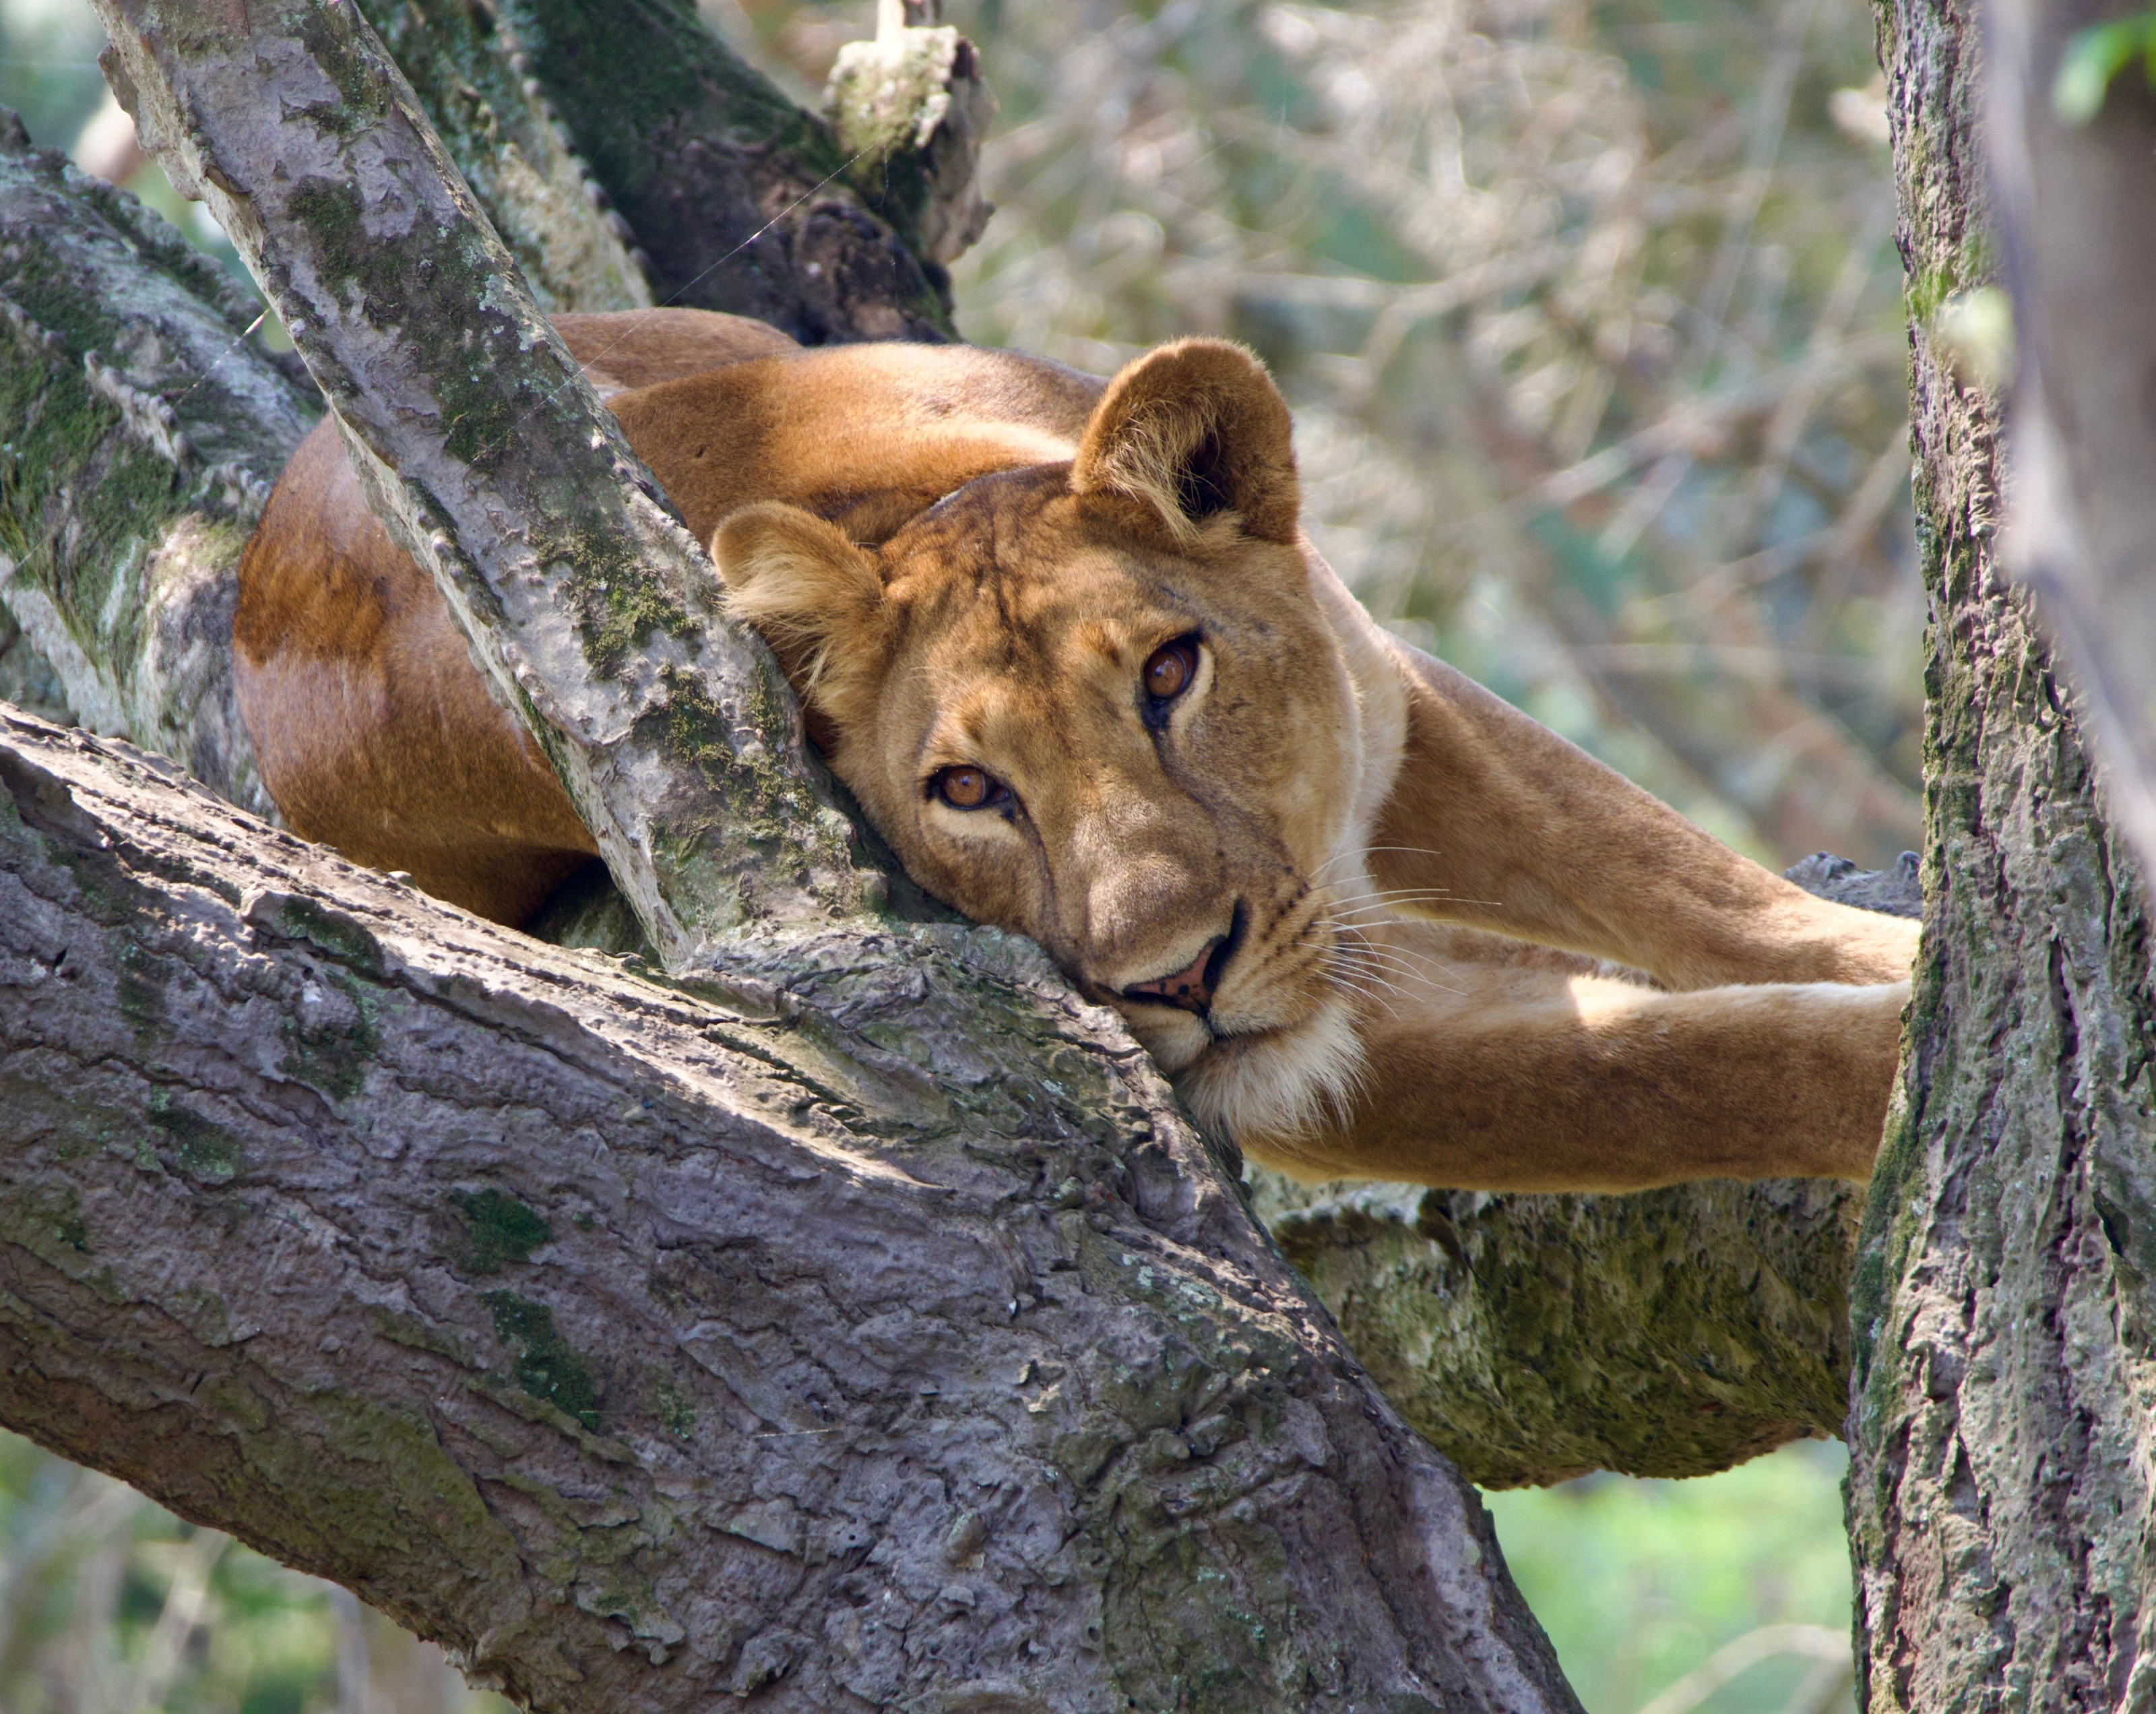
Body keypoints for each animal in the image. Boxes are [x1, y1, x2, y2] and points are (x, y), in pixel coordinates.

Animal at [236, 309, 1918, 1193]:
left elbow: (1680, 878)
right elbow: (1668, 1066)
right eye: (968, 793)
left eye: (1171, 675)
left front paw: (1899, 949)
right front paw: (1900, 1062)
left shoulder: (1404, 703)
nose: (1178, 977)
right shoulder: (1286, 1067)